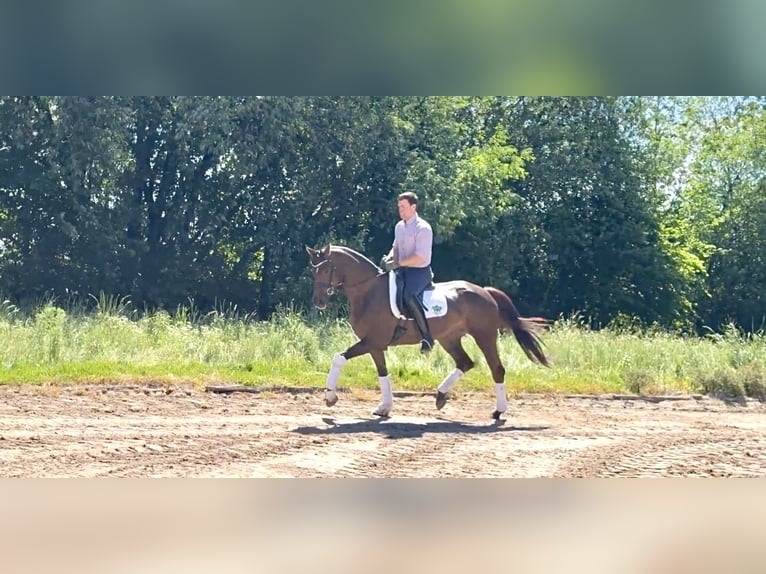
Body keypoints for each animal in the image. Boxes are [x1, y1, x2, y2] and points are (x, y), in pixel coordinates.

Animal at [306, 243, 551, 419]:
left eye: (326, 268)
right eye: (313, 270)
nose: (318, 302)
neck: (368, 291)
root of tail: (484, 291)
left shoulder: (371, 341)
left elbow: (338, 358)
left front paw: (330, 397)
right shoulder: (375, 345)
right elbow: (383, 374)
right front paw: (384, 407)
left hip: (485, 336)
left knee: (497, 369)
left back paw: (498, 411)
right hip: (449, 339)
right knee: (465, 363)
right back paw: (440, 396)